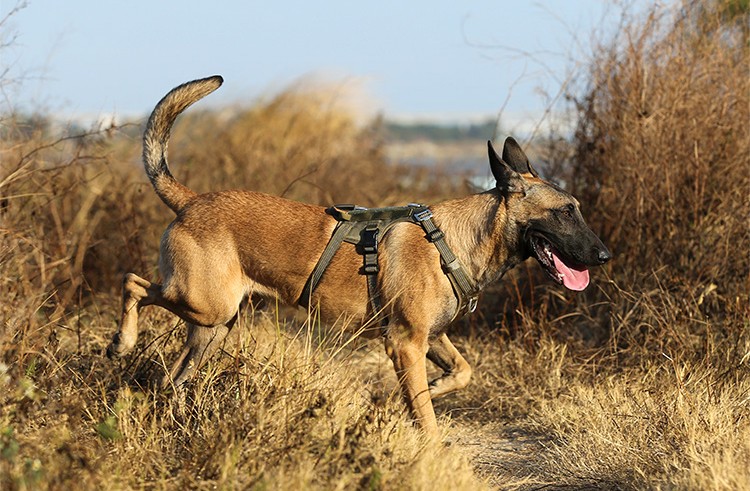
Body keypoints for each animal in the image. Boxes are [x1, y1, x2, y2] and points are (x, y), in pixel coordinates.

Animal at [106, 75, 612, 436]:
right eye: (565, 212)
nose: (605, 255)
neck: (455, 241)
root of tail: (191, 201)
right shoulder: (406, 343)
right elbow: (426, 419)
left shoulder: (431, 338)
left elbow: (460, 373)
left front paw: (421, 392)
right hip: (205, 303)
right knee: (133, 283)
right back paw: (122, 342)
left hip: (213, 327)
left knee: (172, 378)